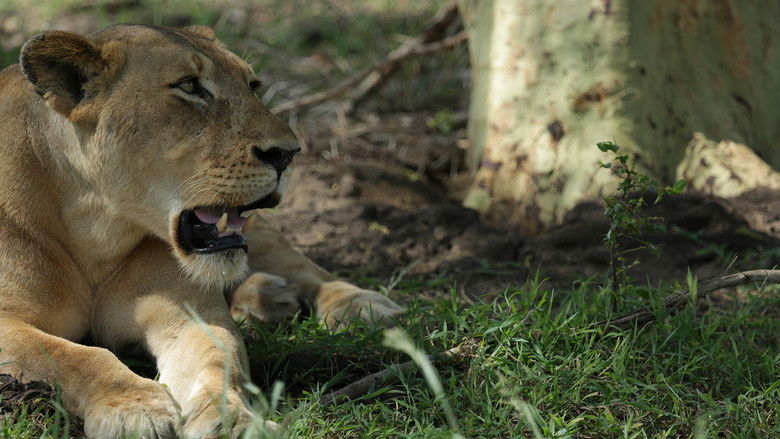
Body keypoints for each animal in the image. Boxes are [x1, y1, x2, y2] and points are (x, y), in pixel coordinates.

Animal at [0, 24, 402, 438]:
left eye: (253, 86)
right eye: (190, 86)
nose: (288, 154)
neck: (99, 232)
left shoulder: (187, 315)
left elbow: (218, 361)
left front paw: (234, 420)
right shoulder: (8, 323)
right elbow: (72, 356)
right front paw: (135, 408)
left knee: (302, 267)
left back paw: (358, 304)